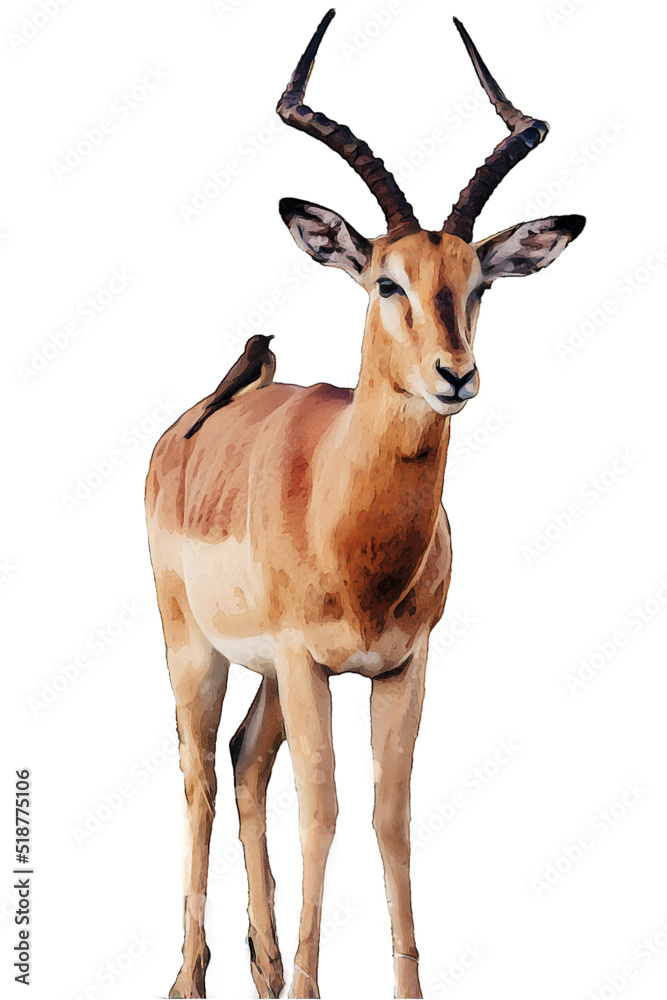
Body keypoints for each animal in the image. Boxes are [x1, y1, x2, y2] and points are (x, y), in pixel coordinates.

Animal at [146, 10, 585, 999]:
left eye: (478, 282)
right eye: (387, 280)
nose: (454, 375)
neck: (346, 524)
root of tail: (197, 416)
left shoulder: (400, 666)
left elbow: (389, 812)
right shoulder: (309, 661)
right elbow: (324, 805)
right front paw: (312, 985)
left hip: (269, 676)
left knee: (244, 763)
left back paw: (264, 967)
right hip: (197, 650)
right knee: (198, 773)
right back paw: (191, 978)